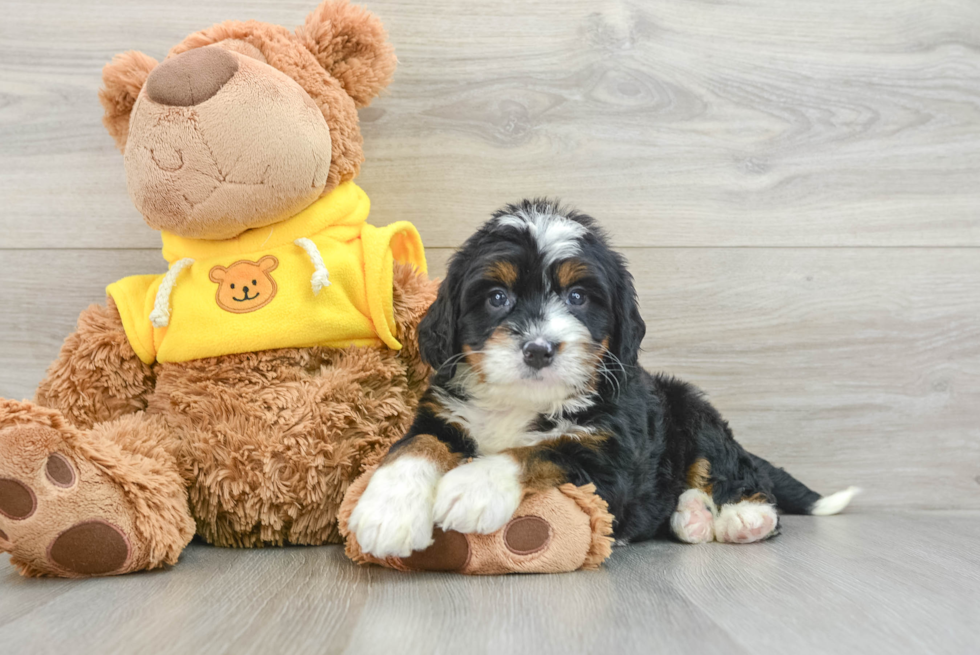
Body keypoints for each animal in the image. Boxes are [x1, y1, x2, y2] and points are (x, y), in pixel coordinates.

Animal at [346, 201, 856, 560]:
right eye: (496, 297)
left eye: (577, 296)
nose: (538, 349)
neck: (521, 401)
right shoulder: (441, 415)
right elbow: (415, 446)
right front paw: (386, 511)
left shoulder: (609, 459)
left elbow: (540, 451)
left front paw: (472, 487)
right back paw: (691, 516)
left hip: (691, 409)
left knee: (735, 468)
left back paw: (744, 516)